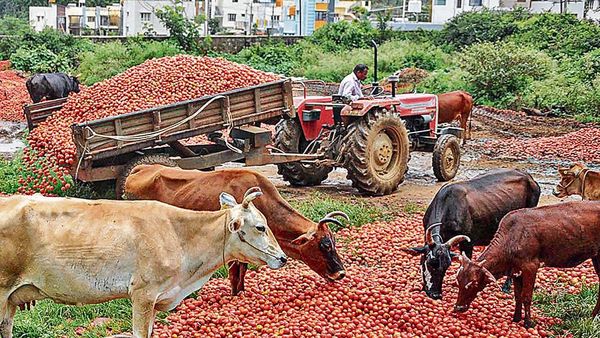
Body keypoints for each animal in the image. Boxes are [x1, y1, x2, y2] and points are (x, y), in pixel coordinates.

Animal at [125, 165, 346, 294]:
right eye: (324, 245)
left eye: (334, 242)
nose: (341, 274)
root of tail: (138, 169)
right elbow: (234, 274)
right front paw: (234, 294)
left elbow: (242, 272)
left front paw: (241, 293)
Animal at [404, 170, 540, 300]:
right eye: (431, 262)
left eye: (446, 265)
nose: (436, 295)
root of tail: (529, 177)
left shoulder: (468, 243)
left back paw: (506, 286)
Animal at [452, 201, 600, 328]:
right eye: (458, 280)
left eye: (474, 283)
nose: (458, 308)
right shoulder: (516, 270)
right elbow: (518, 296)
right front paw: (516, 318)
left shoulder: (531, 266)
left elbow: (526, 296)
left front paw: (528, 323)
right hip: (596, 257)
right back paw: (592, 317)